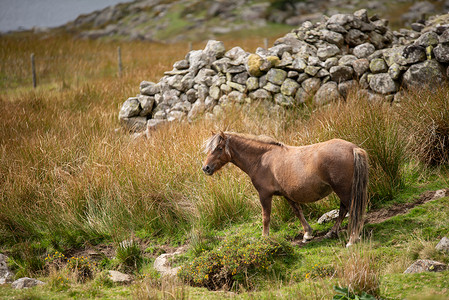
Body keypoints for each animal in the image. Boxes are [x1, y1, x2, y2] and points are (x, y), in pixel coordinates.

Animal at [203, 132, 368, 247]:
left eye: (219, 148)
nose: (206, 168)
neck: (262, 159)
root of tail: (353, 148)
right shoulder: (287, 194)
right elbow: (297, 211)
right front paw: (307, 234)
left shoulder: (264, 195)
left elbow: (266, 217)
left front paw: (265, 238)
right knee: (344, 209)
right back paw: (332, 233)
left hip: (343, 190)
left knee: (351, 208)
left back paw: (352, 239)